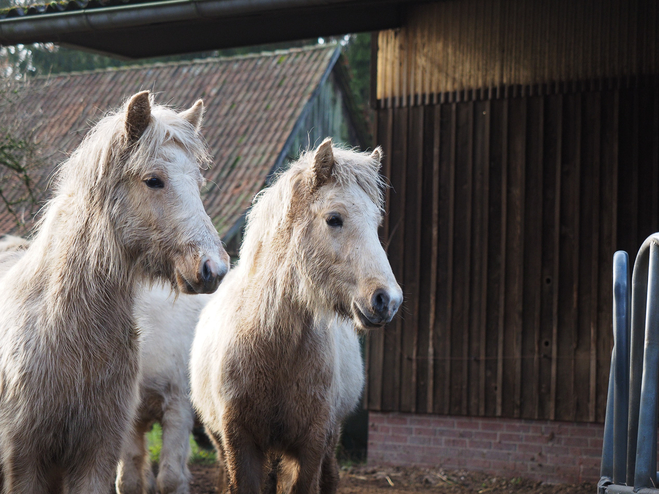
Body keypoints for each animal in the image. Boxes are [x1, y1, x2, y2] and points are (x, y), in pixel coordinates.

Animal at [189, 138, 402, 494]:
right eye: (334, 219)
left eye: (375, 224)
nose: (388, 300)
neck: (272, 345)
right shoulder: (240, 445)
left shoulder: (311, 446)